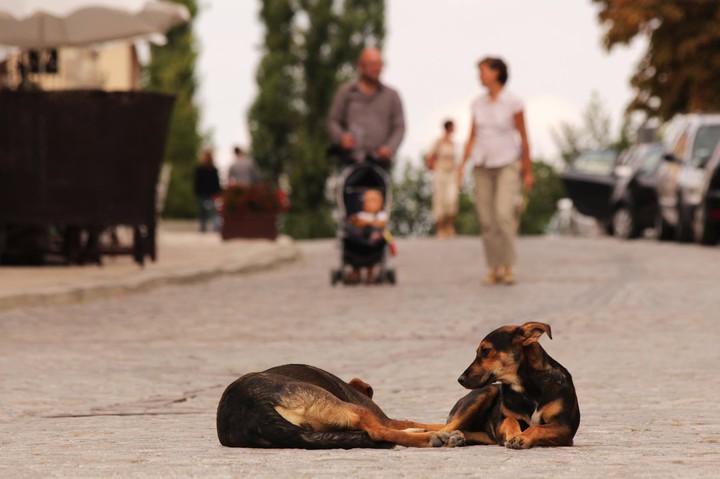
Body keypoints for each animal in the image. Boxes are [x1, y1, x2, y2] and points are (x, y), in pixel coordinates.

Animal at [215, 364, 462, 450]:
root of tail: (253, 410)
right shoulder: (381, 416)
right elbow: (411, 421)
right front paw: (438, 429)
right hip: (345, 406)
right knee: (377, 431)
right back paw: (431, 438)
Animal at [442, 322, 584, 450]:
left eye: (486, 350)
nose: (460, 379)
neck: (528, 389)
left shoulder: (564, 426)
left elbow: (536, 427)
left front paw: (521, 437)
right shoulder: (501, 423)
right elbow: (510, 420)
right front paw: (515, 436)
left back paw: (456, 437)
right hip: (485, 391)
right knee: (444, 429)